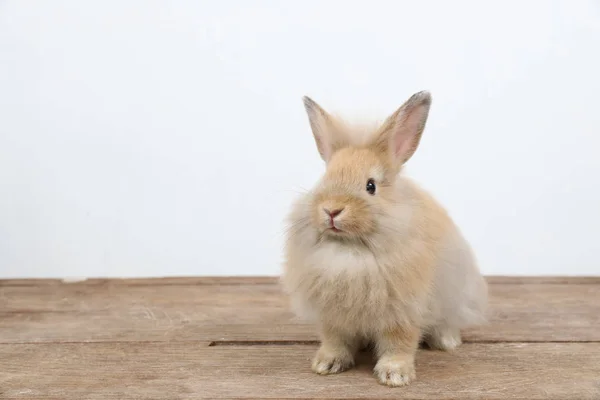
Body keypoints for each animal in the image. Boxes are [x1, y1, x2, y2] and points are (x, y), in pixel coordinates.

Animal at [282, 91, 488, 388]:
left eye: (371, 186)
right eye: (324, 179)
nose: (331, 210)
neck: (351, 251)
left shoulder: (403, 312)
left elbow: (398, 344)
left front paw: (395, 375)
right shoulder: (332, 316)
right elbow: (335, 340)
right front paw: (326, 364)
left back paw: (446, 341)